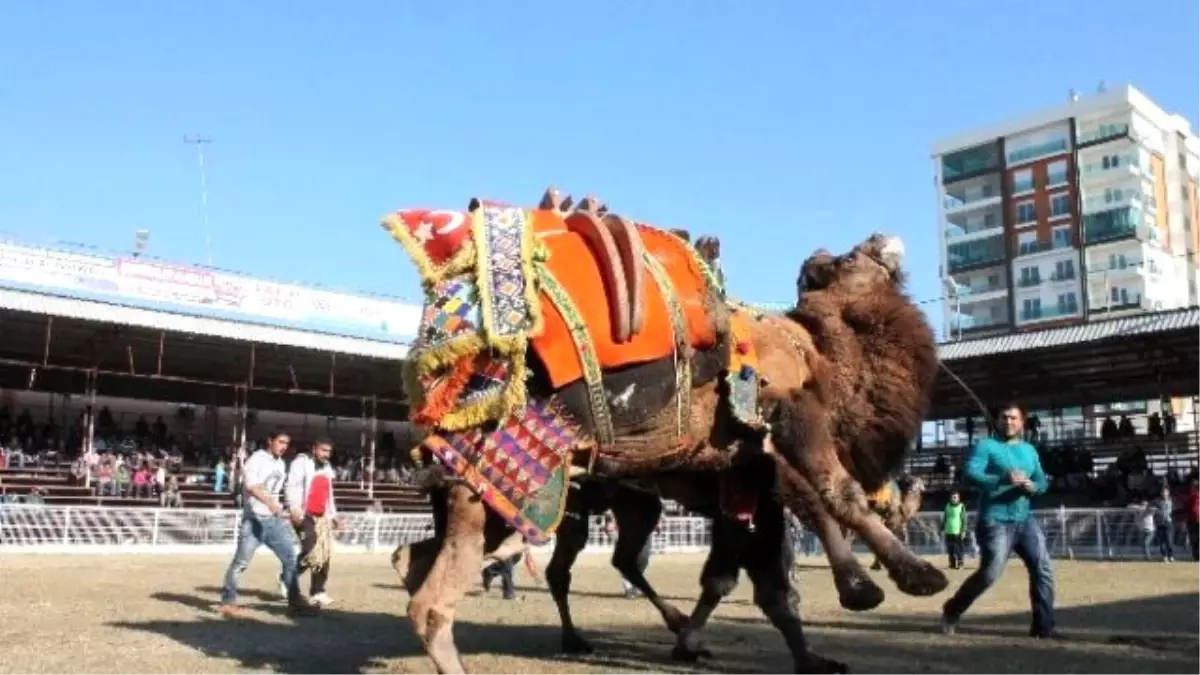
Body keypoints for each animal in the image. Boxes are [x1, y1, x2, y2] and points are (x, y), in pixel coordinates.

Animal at [384, 190, 945, 672]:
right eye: (849, 259)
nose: (882, 237)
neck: (820, 351)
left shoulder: (748, 482)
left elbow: (758, 586)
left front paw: (808, 657)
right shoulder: (789, 420)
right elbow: (837, 494)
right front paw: (905, 579)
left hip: (539, 499)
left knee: (416, 559)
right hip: (512, 490)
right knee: (435, 601)